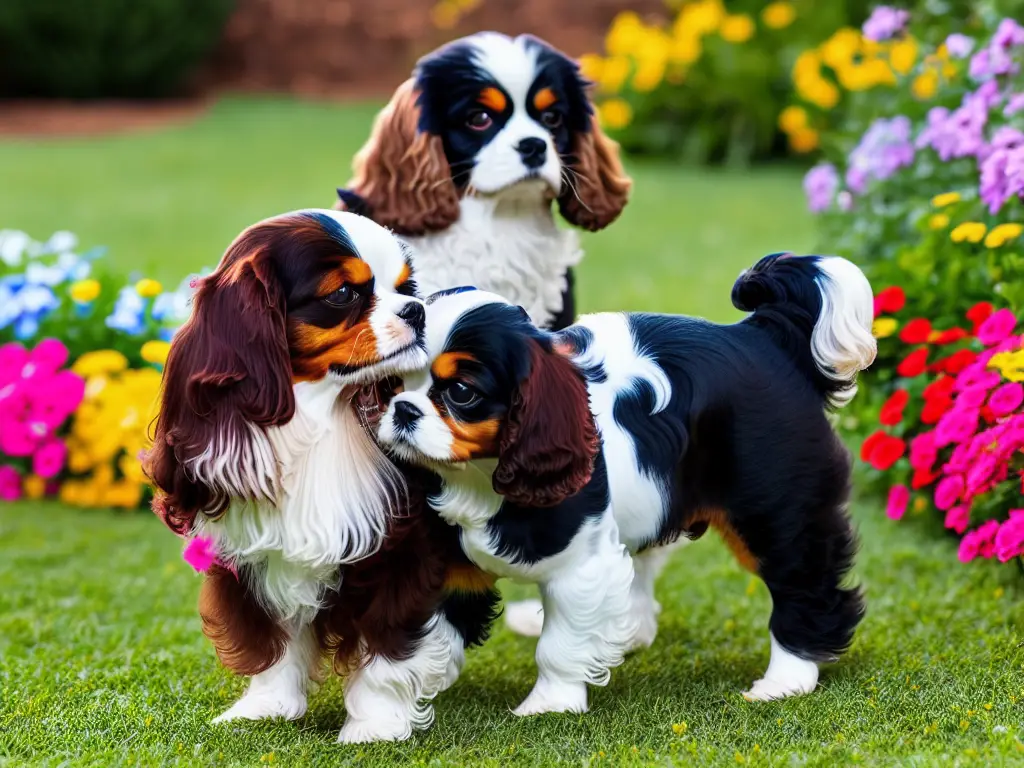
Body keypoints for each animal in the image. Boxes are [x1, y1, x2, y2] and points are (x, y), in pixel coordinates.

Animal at [146, 210, 497, 745]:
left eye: (407, 287)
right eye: (344, 294)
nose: (417, 310)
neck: (319, 415)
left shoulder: (402, 553)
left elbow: (388, 647)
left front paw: (375, 725)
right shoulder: (252, 555)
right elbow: (271, 639)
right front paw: (266, 709)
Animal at [380, 256, 876, 720]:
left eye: (461, 392)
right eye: (392, 383)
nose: (403, 409)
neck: (477, 476)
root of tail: (763, 335)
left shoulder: (580, 565)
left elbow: (558, 644)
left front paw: (549, 704)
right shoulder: (447, 561)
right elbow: (433, 628)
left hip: (775, 513)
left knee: (804, 583)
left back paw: (785, 679)